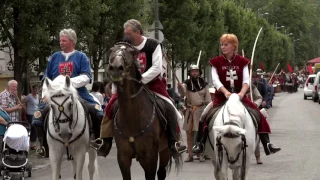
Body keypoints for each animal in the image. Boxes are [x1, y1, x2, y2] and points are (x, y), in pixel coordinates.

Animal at [107, 42, 181, 180]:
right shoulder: (123, 158)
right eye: (111, 50)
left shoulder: (151, 156)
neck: (132, 118)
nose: (116, 69)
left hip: (165, 150)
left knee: (161, 172)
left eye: (131, 52)